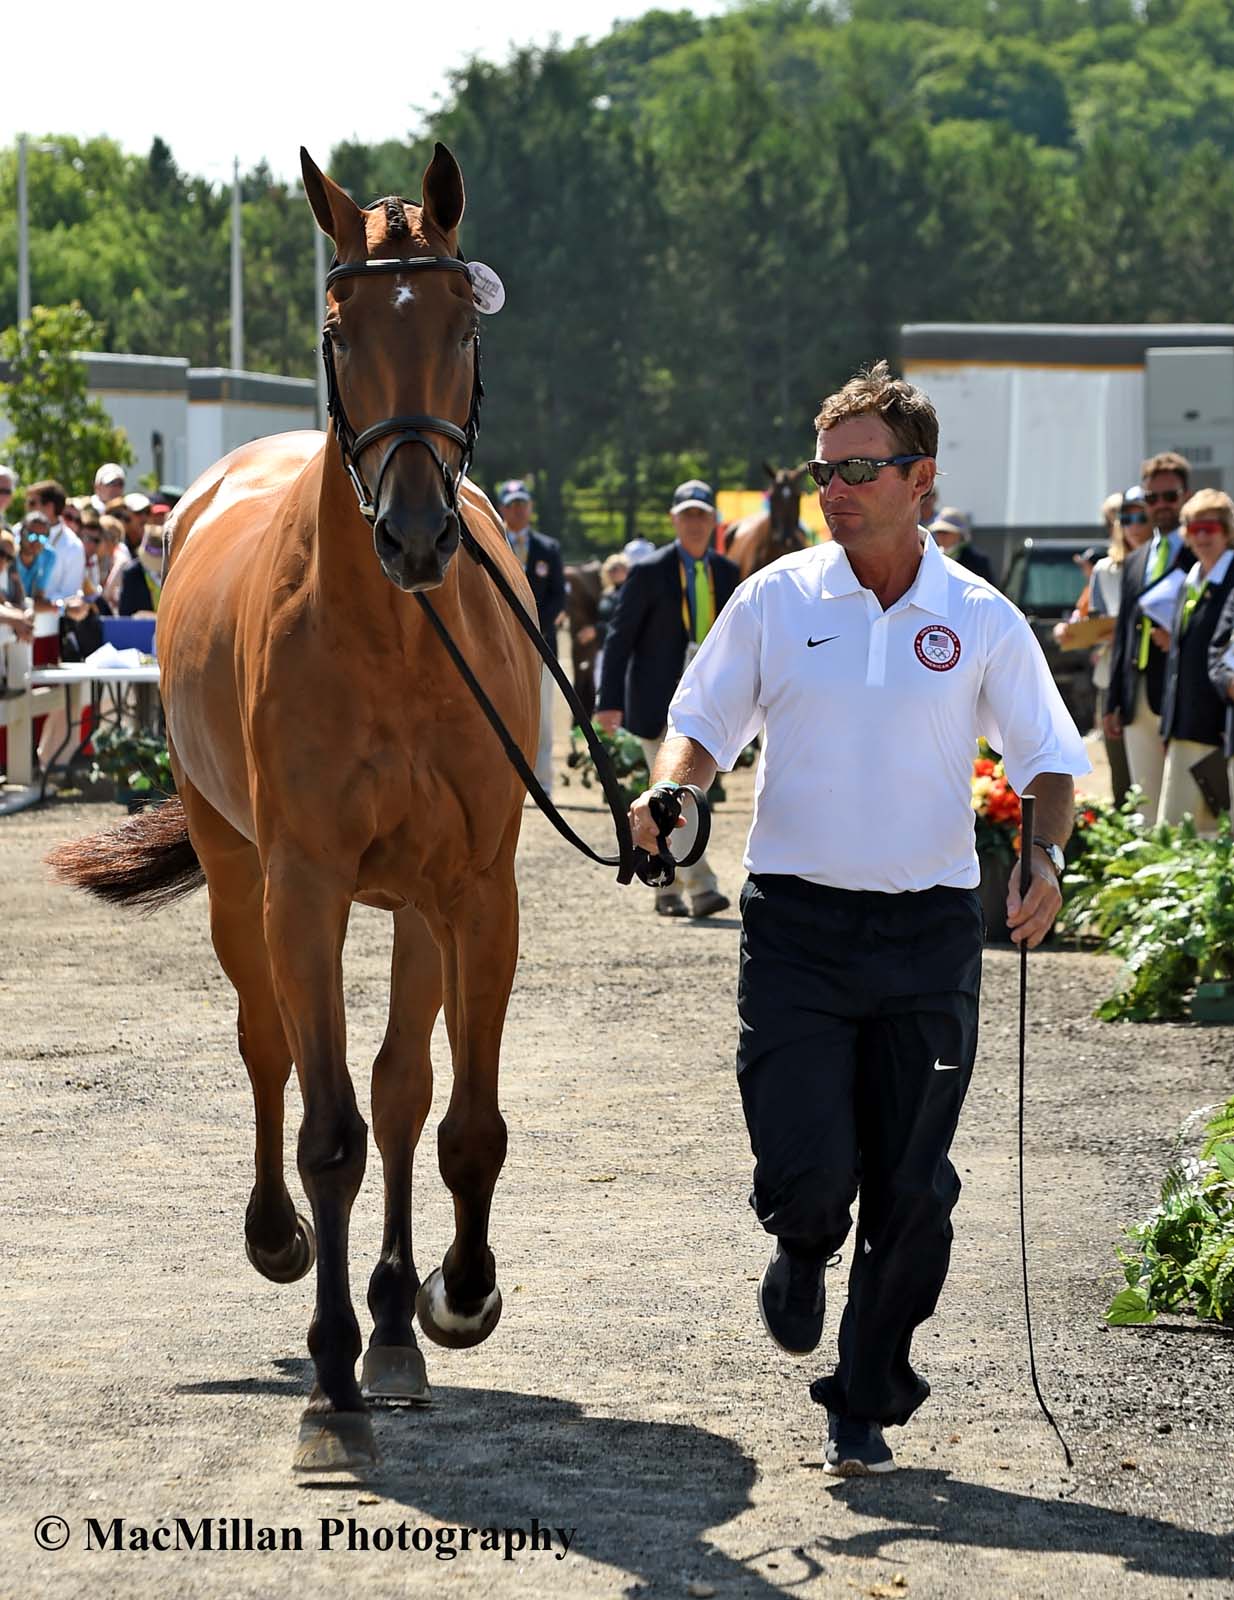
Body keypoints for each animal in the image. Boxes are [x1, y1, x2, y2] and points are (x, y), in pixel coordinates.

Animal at [48, 147, 540, 1472]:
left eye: (464, 323)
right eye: (340, 326)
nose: (415, 531)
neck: (395, 647)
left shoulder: (474, 892)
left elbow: (457, 1119)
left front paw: (454, 1299)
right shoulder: (306, 887)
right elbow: (326, 1129)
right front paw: (329, 1383)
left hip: (413, 908)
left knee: (402, 1087)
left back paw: (397, 1323)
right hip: (237, 876)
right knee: (268, 1046)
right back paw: (283, 1244)